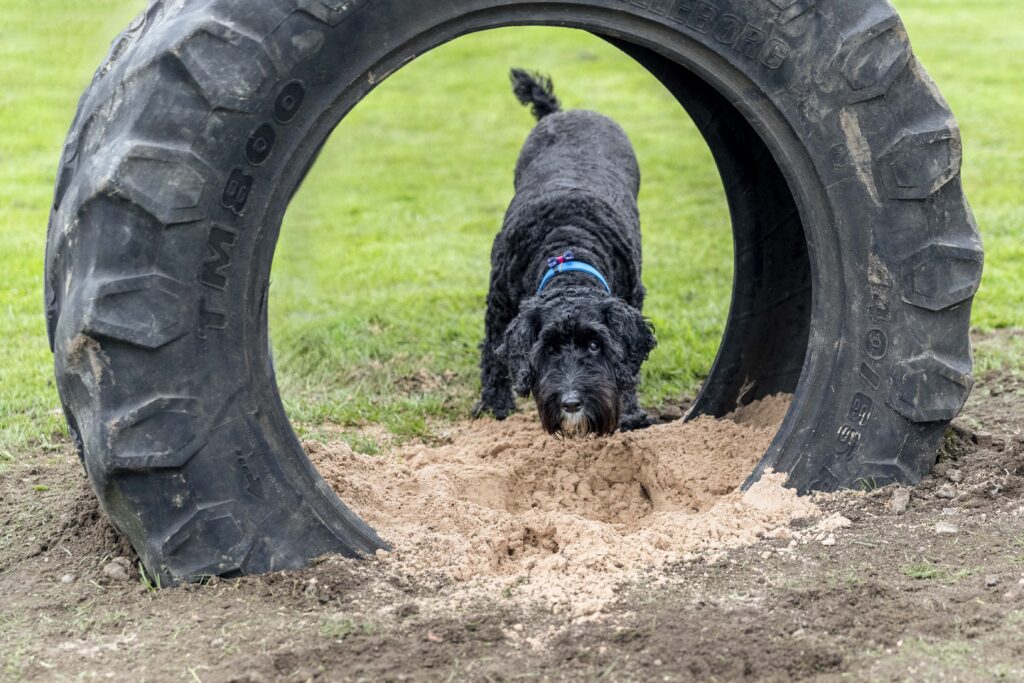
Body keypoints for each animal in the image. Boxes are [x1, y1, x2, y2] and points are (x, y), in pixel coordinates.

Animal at [471, 69, 655, 438]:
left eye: (596, 345)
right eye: (550, 348)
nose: (571, 404)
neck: (568, 251)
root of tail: (565, 112)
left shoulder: (632, 298)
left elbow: (626, 368)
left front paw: (629, 413)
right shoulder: (498, 305)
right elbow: (493, 355)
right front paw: (494, 405)